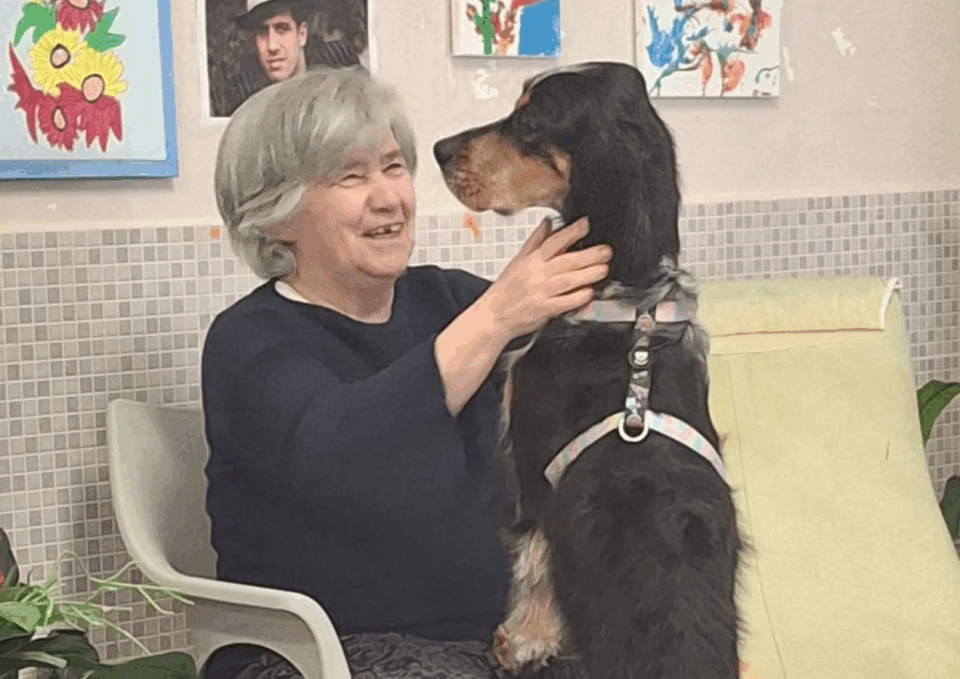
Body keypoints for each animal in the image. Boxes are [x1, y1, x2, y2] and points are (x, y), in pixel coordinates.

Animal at [433, 62, 743, 679]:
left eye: (528, 119)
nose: (438, 150)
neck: (629, 294)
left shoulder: (530, 461)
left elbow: (532, 559)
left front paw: (522, 640)